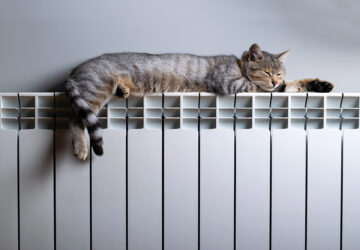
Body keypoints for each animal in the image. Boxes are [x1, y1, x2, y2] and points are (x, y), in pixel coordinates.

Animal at [65, 43, 334, 160]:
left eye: (279, 72)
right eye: (267, 72)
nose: (275, 80)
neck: (238, 65)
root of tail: (74, 71)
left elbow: (291, 85)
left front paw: (320, 85)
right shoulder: (232, 84)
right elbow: (265, 89)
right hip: (96, 89)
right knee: (74, 120)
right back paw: (80, 149)